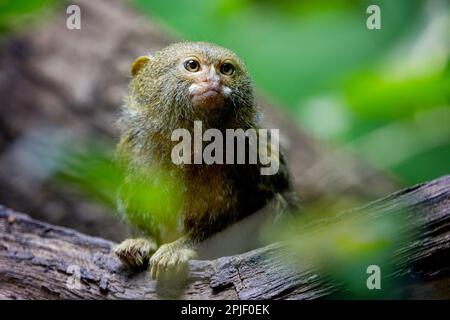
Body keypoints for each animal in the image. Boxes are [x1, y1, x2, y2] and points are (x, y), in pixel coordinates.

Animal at [114, 41, 298, 278]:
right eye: (192, 65)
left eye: (226, 69)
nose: (214, 81)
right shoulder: (132, 151)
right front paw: (140, 241)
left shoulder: (248, 155)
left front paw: (178, 248)